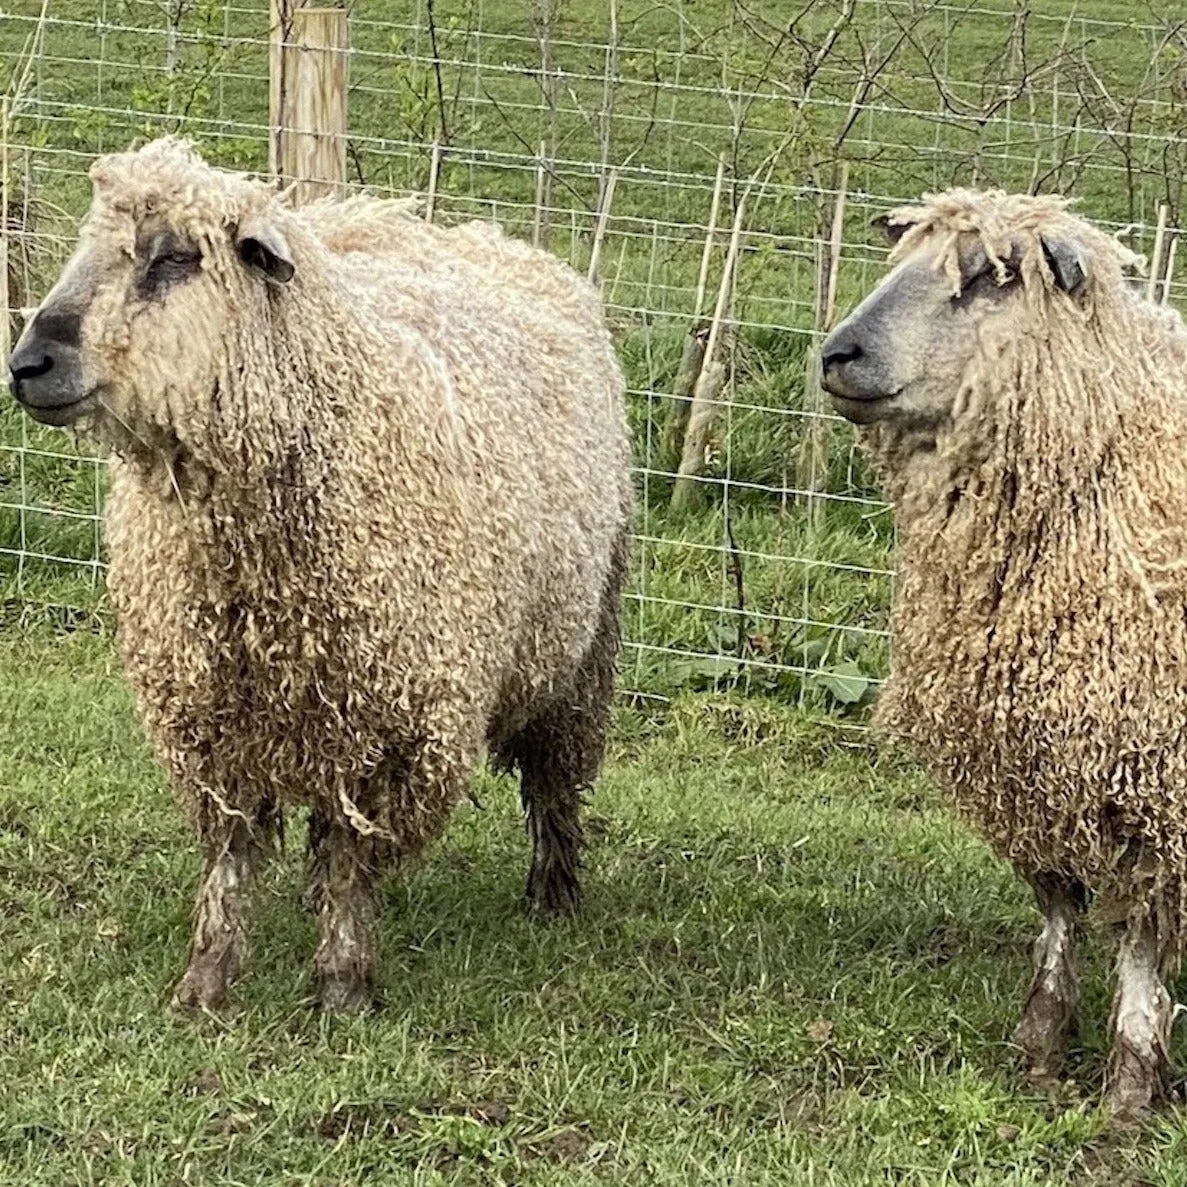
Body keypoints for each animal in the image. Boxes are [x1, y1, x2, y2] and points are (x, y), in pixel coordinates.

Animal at [9, 136, 636, 1011]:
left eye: (172, 257)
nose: (28, 363)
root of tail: (491, 237)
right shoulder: (211, 711)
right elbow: (232, 854)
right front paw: (207, 978)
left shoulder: (398, 719)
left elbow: (352, 853)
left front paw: (342, 978)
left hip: (584, 642)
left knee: (554, 776)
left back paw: (554, 890)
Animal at [821, 187, 1187, 1120]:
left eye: (991, 276)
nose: (836, 354)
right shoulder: (1028, 745)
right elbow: (1057, 897)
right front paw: (1040, 1044)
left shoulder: (1151, 764)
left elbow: (1139, 930)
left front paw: (1130, 1081)